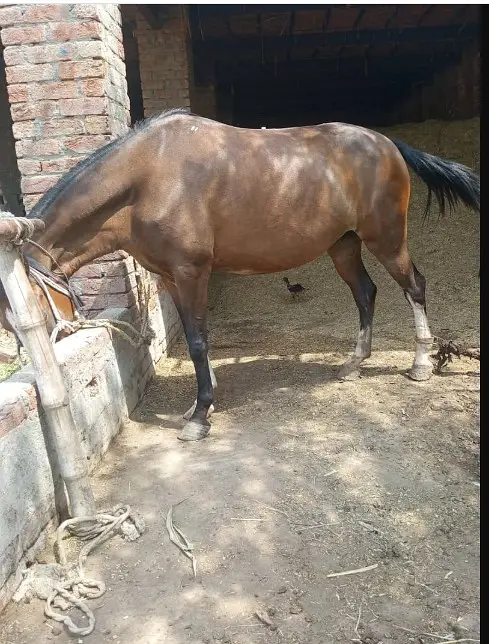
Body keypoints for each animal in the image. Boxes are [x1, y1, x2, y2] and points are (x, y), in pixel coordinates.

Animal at [0, 108, 480, 441]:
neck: (149, 175)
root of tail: (387, 144)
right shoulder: (172, 277)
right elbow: (199, 337)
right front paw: (203, 400)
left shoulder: (191, 272)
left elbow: (197, 340)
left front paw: (199, 416)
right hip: (343, 245)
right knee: (366, 293)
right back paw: (353, 363)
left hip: (386, 239)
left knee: (414, 286)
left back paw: (420, 364)